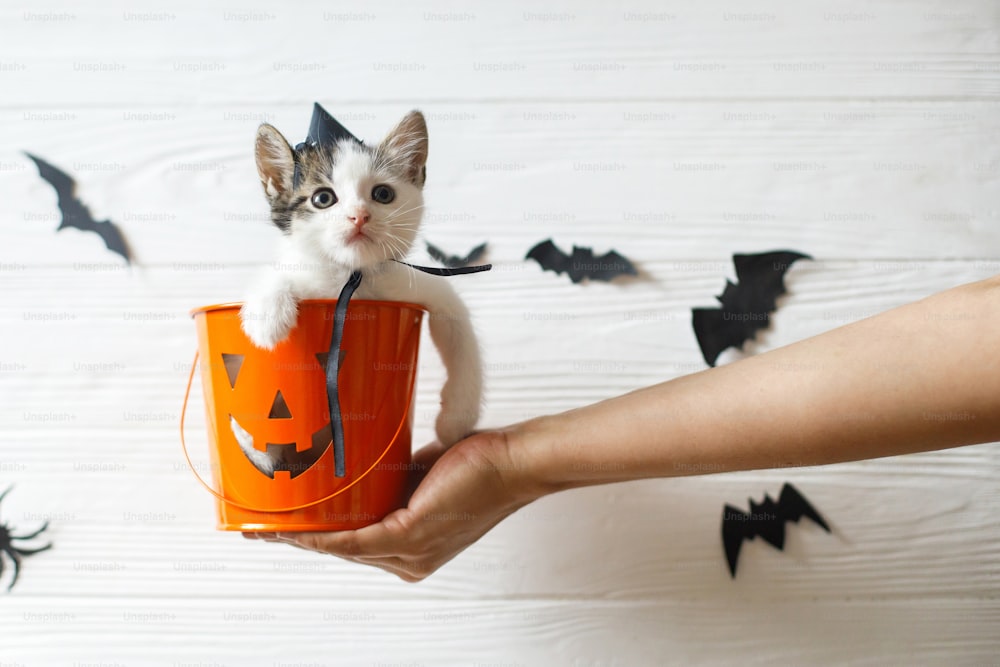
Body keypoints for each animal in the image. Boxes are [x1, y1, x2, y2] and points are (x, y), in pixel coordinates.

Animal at [238, 111, 480, 448]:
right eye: (323, 198)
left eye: (383, 194)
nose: (359, 216)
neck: (352, 278)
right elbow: (276, 272)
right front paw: (267, 315)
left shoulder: (420, 282)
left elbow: (459, 329)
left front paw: (456, 421)